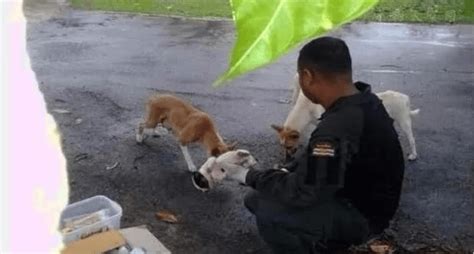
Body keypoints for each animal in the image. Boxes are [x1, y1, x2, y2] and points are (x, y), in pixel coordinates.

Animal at [272, 73, 420, 161]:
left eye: (289, 146)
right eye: (282, 146)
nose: (286, 161)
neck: (304, 108)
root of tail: (405, 97)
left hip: (404, 123)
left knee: (412, 139)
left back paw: (413, 155)